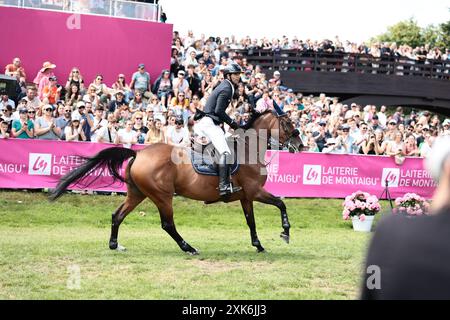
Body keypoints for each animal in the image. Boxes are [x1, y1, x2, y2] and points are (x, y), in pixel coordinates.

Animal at [49, 110, 302, 255]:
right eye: (289, 123)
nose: (300, 145)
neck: (248, 149)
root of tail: (138, 154)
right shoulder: (255, 191)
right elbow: (281, 204)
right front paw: (286, 232)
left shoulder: (246, 196)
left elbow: (251, 222)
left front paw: (258, 245)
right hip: (162, 196)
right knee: (167, 224)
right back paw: (189, 248)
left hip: (137, 193)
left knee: (117, 215)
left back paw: (115, 245)